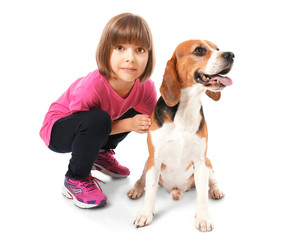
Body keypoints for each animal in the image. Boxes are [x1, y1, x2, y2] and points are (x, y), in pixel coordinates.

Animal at [127, 39, 233, 232]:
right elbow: (151, 190)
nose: (231, 55)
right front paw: (145, 214)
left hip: (207, 161)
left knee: (212, 179)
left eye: (218, 49)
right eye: (199, 50)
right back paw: (136, 189)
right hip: (148, 161)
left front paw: (203, 218)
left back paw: (215, 189)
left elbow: (202, 195)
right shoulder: (155, 158)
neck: (186, 110)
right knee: (142, 179)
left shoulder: (200, 160)